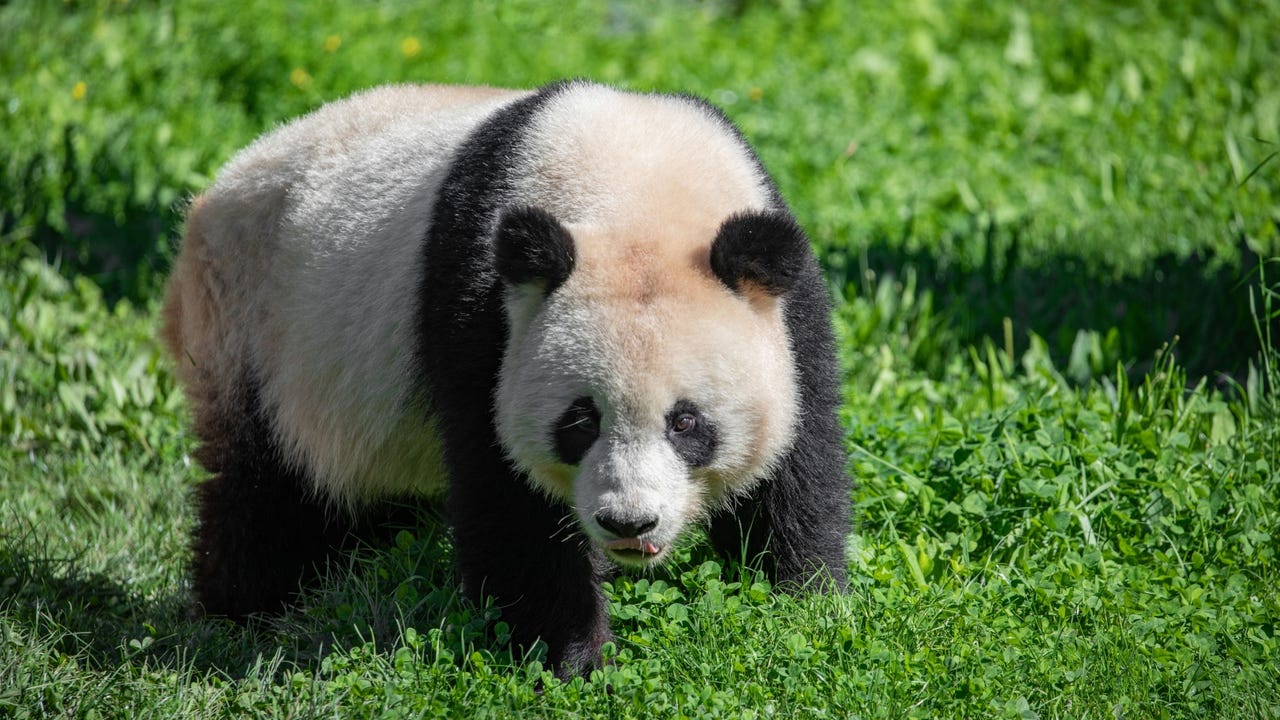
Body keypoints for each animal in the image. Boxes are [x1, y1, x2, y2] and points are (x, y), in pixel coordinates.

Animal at [161, 80, 850, 677]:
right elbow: (508, 491)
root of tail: (213, 194)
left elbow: (796, 461)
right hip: (254, 322)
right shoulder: (480, 309)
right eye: (580, 420)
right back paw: (241, 610)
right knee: (264, 488)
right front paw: (573, 656)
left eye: (686, 423)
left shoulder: (789, 311)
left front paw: (802, 603)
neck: (637, 188)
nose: (629, 524)